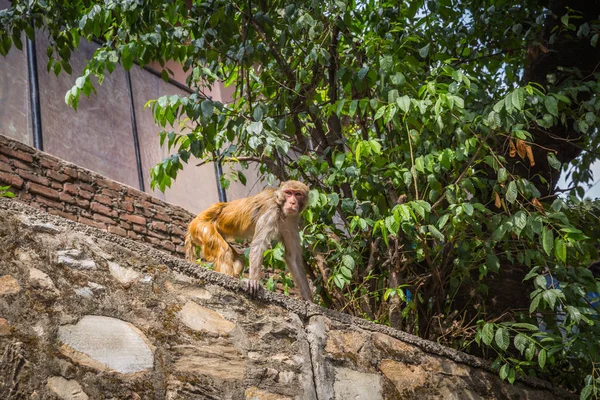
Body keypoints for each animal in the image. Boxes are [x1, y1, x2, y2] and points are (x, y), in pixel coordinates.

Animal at [184, 180, 314, 300]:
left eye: (298, 194)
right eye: (288, 193)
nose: (292, 202)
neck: (281, 208)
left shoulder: (292, 221)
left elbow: (292, 257)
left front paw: (309, 300)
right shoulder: (271, 211)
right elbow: (258, 245)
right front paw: (254, 281)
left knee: (239, 260)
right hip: (202, 227)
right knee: (224, 251)